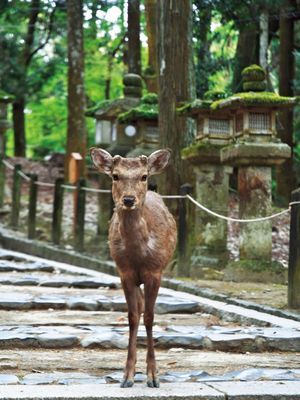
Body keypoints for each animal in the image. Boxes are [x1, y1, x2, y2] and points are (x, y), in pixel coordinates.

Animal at [90, 147, 177, 388]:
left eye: (144, 176)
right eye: (115, 175)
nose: (129, 199)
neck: (139, 254)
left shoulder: (155, 271)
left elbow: (149, 317)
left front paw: (153, 377)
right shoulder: (124, 272)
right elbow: (132, 316)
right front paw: (127, 376)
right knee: (137, 308)